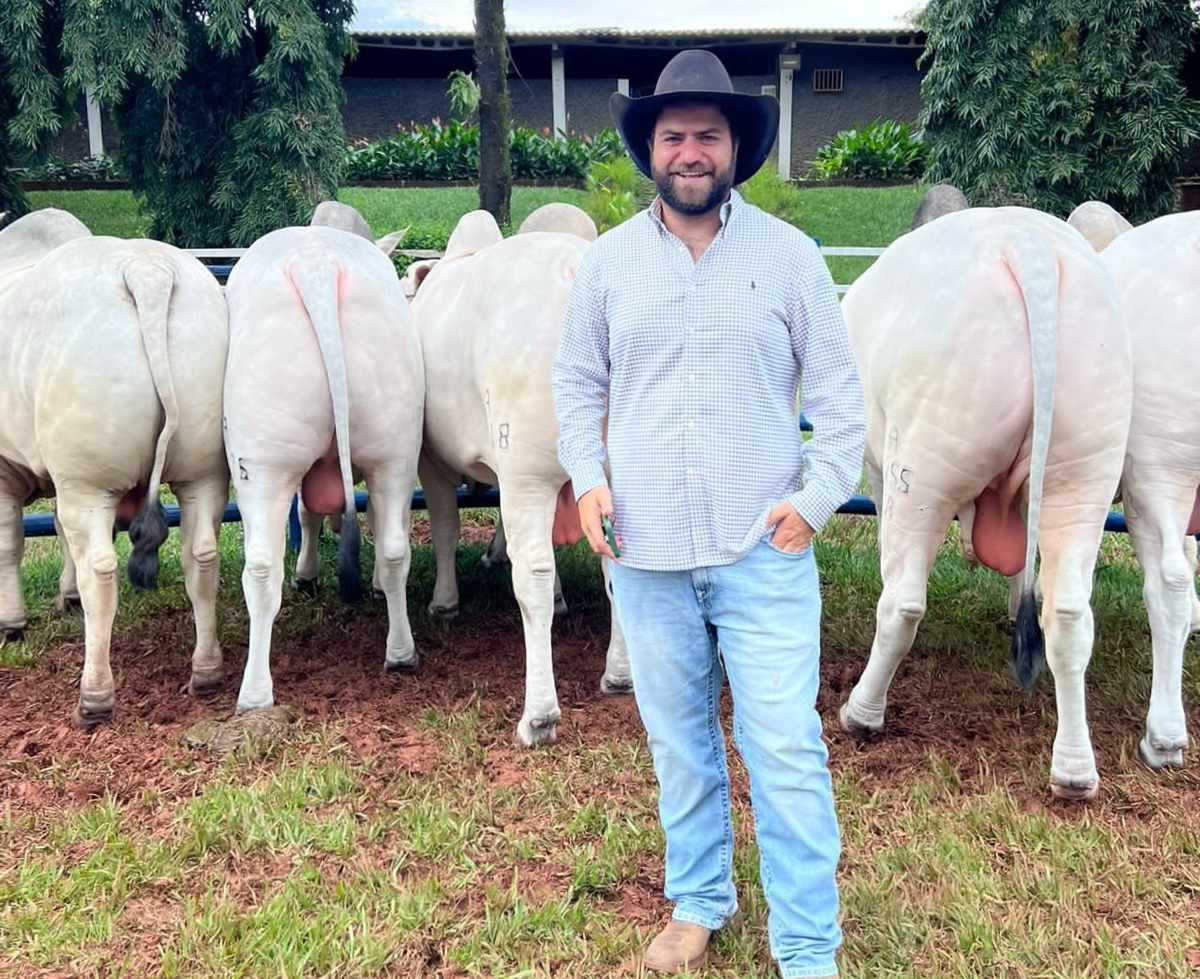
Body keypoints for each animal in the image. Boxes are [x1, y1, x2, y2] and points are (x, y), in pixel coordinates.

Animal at [0, 208, 229, 724]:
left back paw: (95, 697)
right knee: (201, 557)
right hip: (203, 471)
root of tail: (145, 268)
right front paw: (64, 597)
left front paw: (11, 621)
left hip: (88, 482)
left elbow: (9, 545)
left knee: (101, 572)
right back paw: (206, 672)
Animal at [223, 202, 424, 715]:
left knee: (260, 568)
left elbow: (307, 518)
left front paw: (307, 574)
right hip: (396, 448)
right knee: (394, 548)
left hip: (262, 460)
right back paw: (400, 652)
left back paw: (255, 693)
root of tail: (317, 265)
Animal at [412, 206, 633, 743]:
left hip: (526, 471)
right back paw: (619, 675)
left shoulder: (432, 458)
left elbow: (445, 528)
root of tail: (575, 270)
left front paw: (444, 602)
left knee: (531, 572)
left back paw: (540, 713)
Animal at [840, 205, 1128, 796]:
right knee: (1068, 611)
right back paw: (1074, 771)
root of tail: (1030, 247)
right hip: (1085, 470)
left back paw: (861, 712)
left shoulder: (879, 468)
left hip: (923, 464)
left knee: (903, 603)